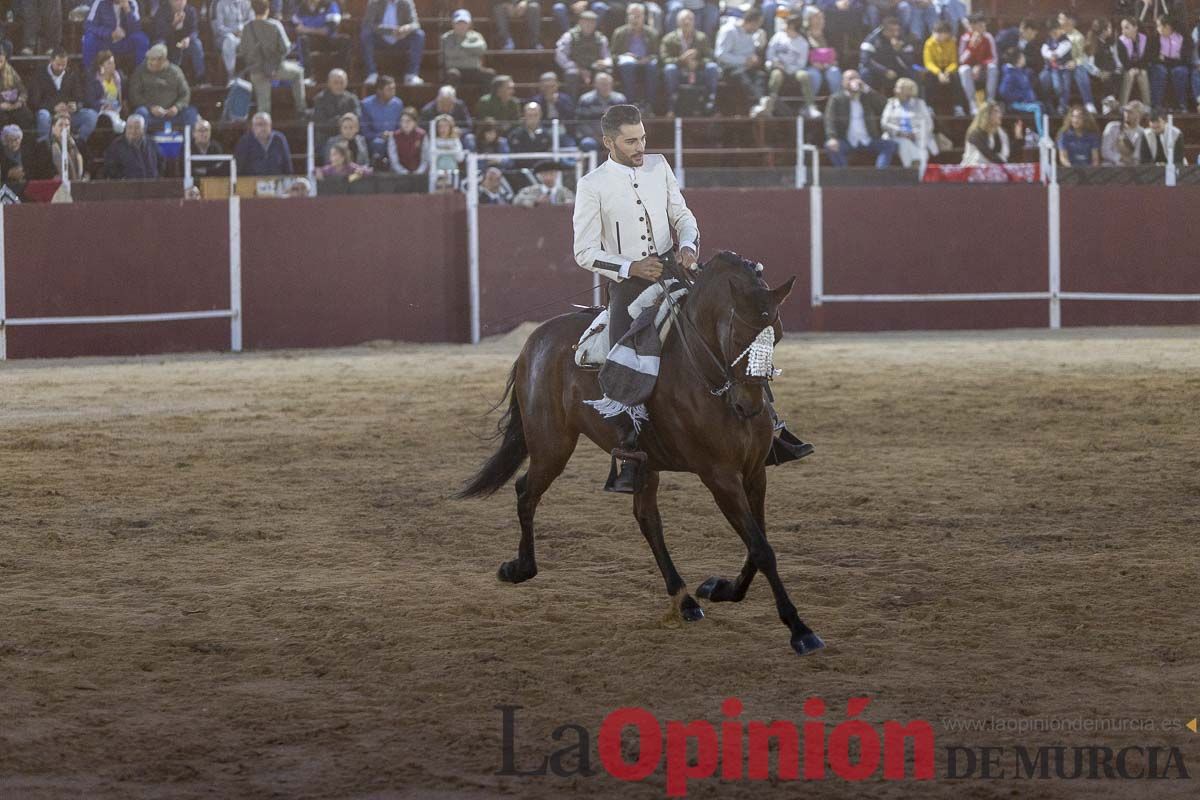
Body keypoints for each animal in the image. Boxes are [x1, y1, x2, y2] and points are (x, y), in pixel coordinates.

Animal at [458, 253, 825, 652]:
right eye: (738, 336)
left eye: (778, 334)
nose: (749, 407)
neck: (705, 374)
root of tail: (534, 342)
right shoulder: (720, 476)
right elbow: (760, 548)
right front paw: (799, 629)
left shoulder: (756, 471)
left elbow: (759, 543)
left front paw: (723, 589)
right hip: (552, 445)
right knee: (526, 491)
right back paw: (520, 568)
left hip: (642, 464)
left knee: (646, 517)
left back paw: (684, 599)